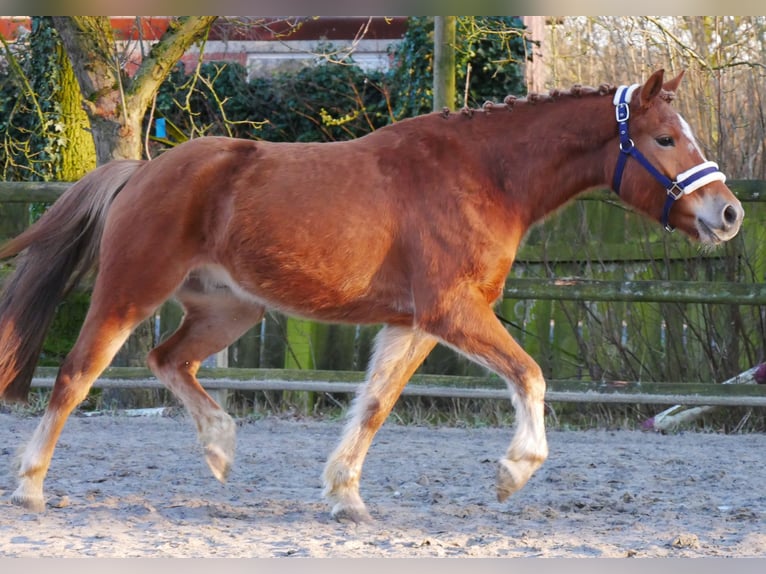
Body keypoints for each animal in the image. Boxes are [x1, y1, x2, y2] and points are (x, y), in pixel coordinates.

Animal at [0, 67, 744, 520]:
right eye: (665, 138)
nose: (730, 214)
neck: (486, 176)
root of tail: (141, 170)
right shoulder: (453, 311)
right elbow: (530, 375)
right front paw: (513, 472)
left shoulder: (412, 323)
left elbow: (376, 405)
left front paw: (345, 498)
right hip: (130, 293)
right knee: (75, 376)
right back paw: (31, 487)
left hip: (230, 308)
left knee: (169, 360)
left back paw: (220, 449)